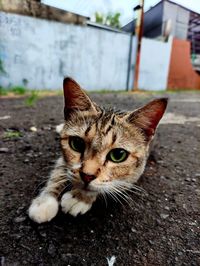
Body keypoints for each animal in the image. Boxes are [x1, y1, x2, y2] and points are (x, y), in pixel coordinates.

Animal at [28, 77, 168, 224]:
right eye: (77, 144)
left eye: (118, 155)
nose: (87, 176)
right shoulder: (63, 160)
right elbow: (57, 174)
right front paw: (44, 201)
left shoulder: (134, 175)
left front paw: (79, 198)